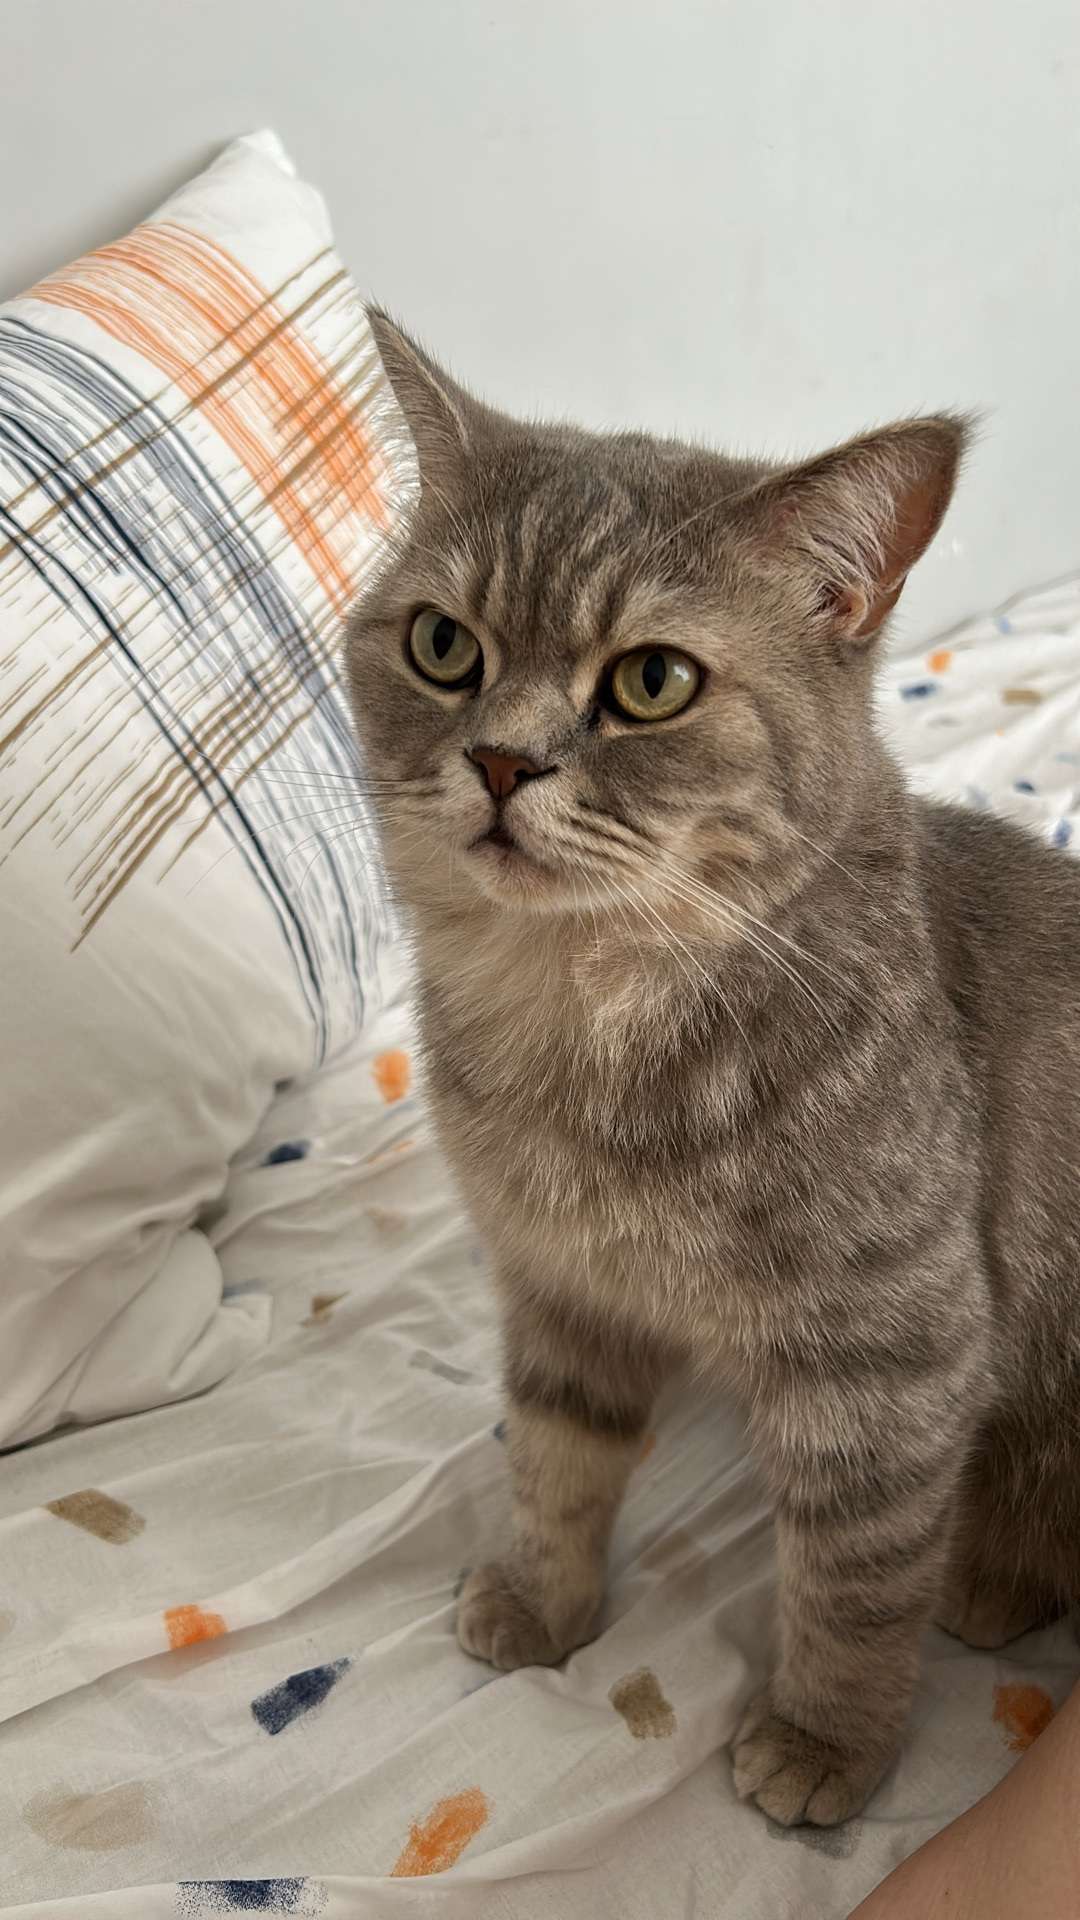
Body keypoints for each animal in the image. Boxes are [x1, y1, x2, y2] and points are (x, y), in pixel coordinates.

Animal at [346, 311, 1080, 1828]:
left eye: (653, 681)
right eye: (444, 644)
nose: (498, 758)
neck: (581, 1016)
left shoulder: (892, 1364)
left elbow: (855, 1580)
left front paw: (824, 1741)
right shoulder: (559, 1290)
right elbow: (555, 1460)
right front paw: (547, 1602)